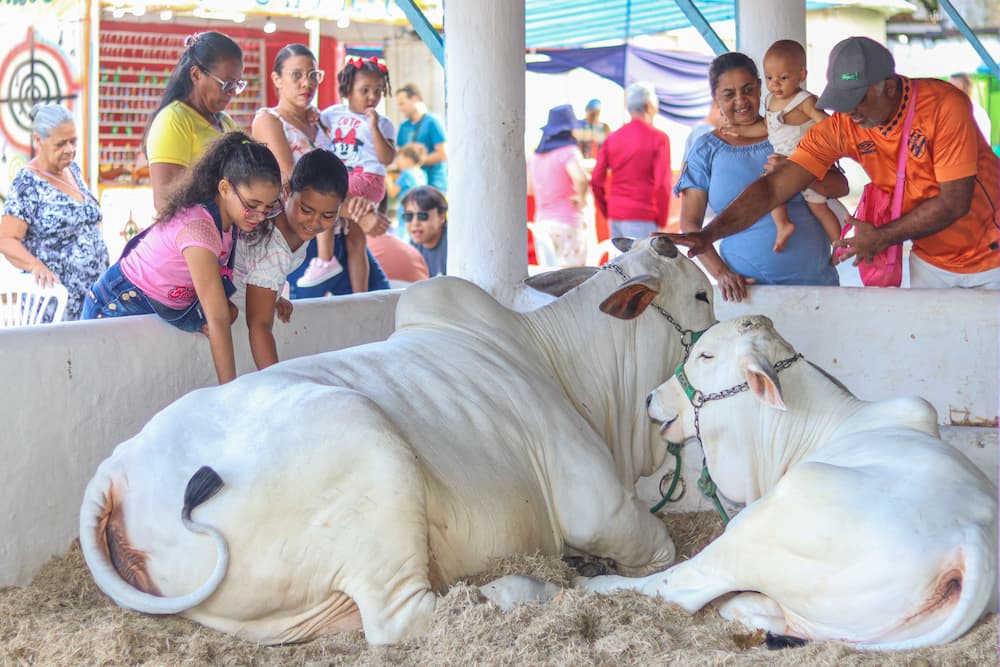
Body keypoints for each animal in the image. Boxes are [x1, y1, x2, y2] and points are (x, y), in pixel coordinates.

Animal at [82, 237, 716, 644]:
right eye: (703, 297)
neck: (572, 370)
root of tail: (117, 471)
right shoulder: (598, 505)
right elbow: (661, 549)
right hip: (372, 454)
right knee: (403, 620)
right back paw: (518, 590)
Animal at [580, 316, 1000, 648]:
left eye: (706, 356)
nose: (650, 398)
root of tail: (970, 537)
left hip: (767, 517)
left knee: (681, 586)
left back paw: (587, 582)